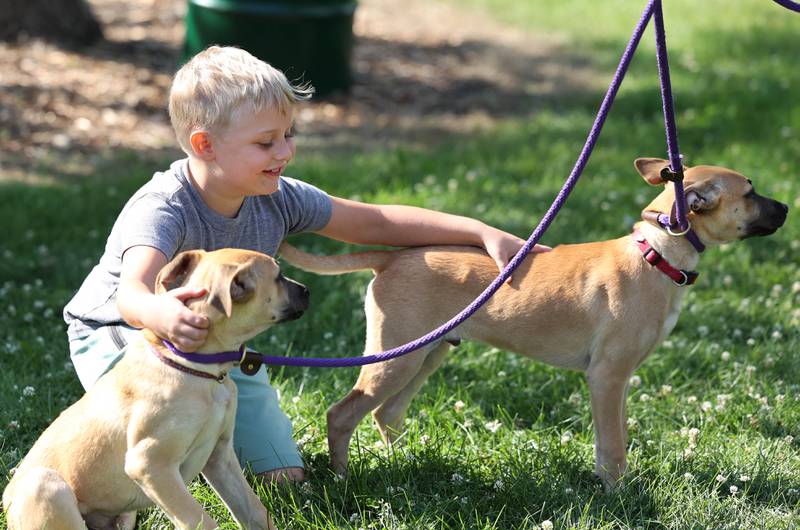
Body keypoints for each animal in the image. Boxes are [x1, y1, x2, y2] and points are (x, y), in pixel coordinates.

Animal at [2, 249, 310, 528]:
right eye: (278, 277)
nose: (307, 290)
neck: (202, 370)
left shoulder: (220, 457)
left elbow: (255, 511)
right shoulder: (149, 465)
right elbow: (200, 520)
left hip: (124, 516)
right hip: (46, 486)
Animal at [280, 158, 788, 486]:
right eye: (750, 193)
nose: (786, 208)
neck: (654, 255)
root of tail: (389, 259)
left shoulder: (620, 381)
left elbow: (616, 438)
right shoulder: (606, 376)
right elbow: (612, 447)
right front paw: (618, 495)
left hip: (426, 354)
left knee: (386, 414)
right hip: (395, 360)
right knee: (344, 414)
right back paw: (343, 480)